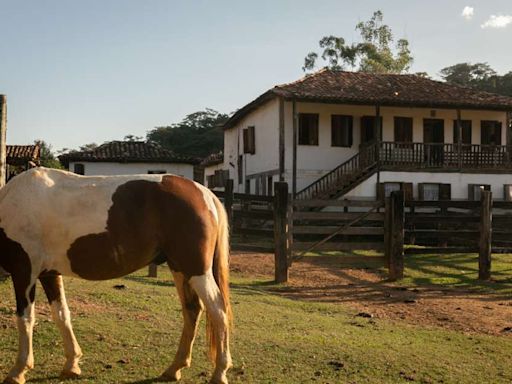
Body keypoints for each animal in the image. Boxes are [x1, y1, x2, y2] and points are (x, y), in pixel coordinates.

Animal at [0, 168, 232, 384]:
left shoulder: (25, 272)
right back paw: (174, 368)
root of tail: (204, 193)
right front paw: (71, 364)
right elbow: (61, 314)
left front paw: (18, 370)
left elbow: (25, 318)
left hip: (196, 270)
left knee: (218, 311)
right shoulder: (48, 274)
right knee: (192, 310)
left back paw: (219, 372)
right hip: (179, 268)